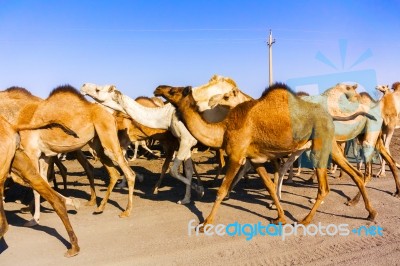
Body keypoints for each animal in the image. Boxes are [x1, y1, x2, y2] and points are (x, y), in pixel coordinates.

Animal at [154, 84, 378, 228]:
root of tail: (330, 115)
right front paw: (280, 217)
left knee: (324, 188)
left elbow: (221, 190)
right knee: (354, 175)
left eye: (173, 90)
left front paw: (206, 223)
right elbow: (270, 187)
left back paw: (305, 220)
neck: (224, 129)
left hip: (319, 146)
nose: (158, 88)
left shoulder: (236, 156)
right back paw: (369, 212)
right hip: (332, 146)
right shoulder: (255, 160)